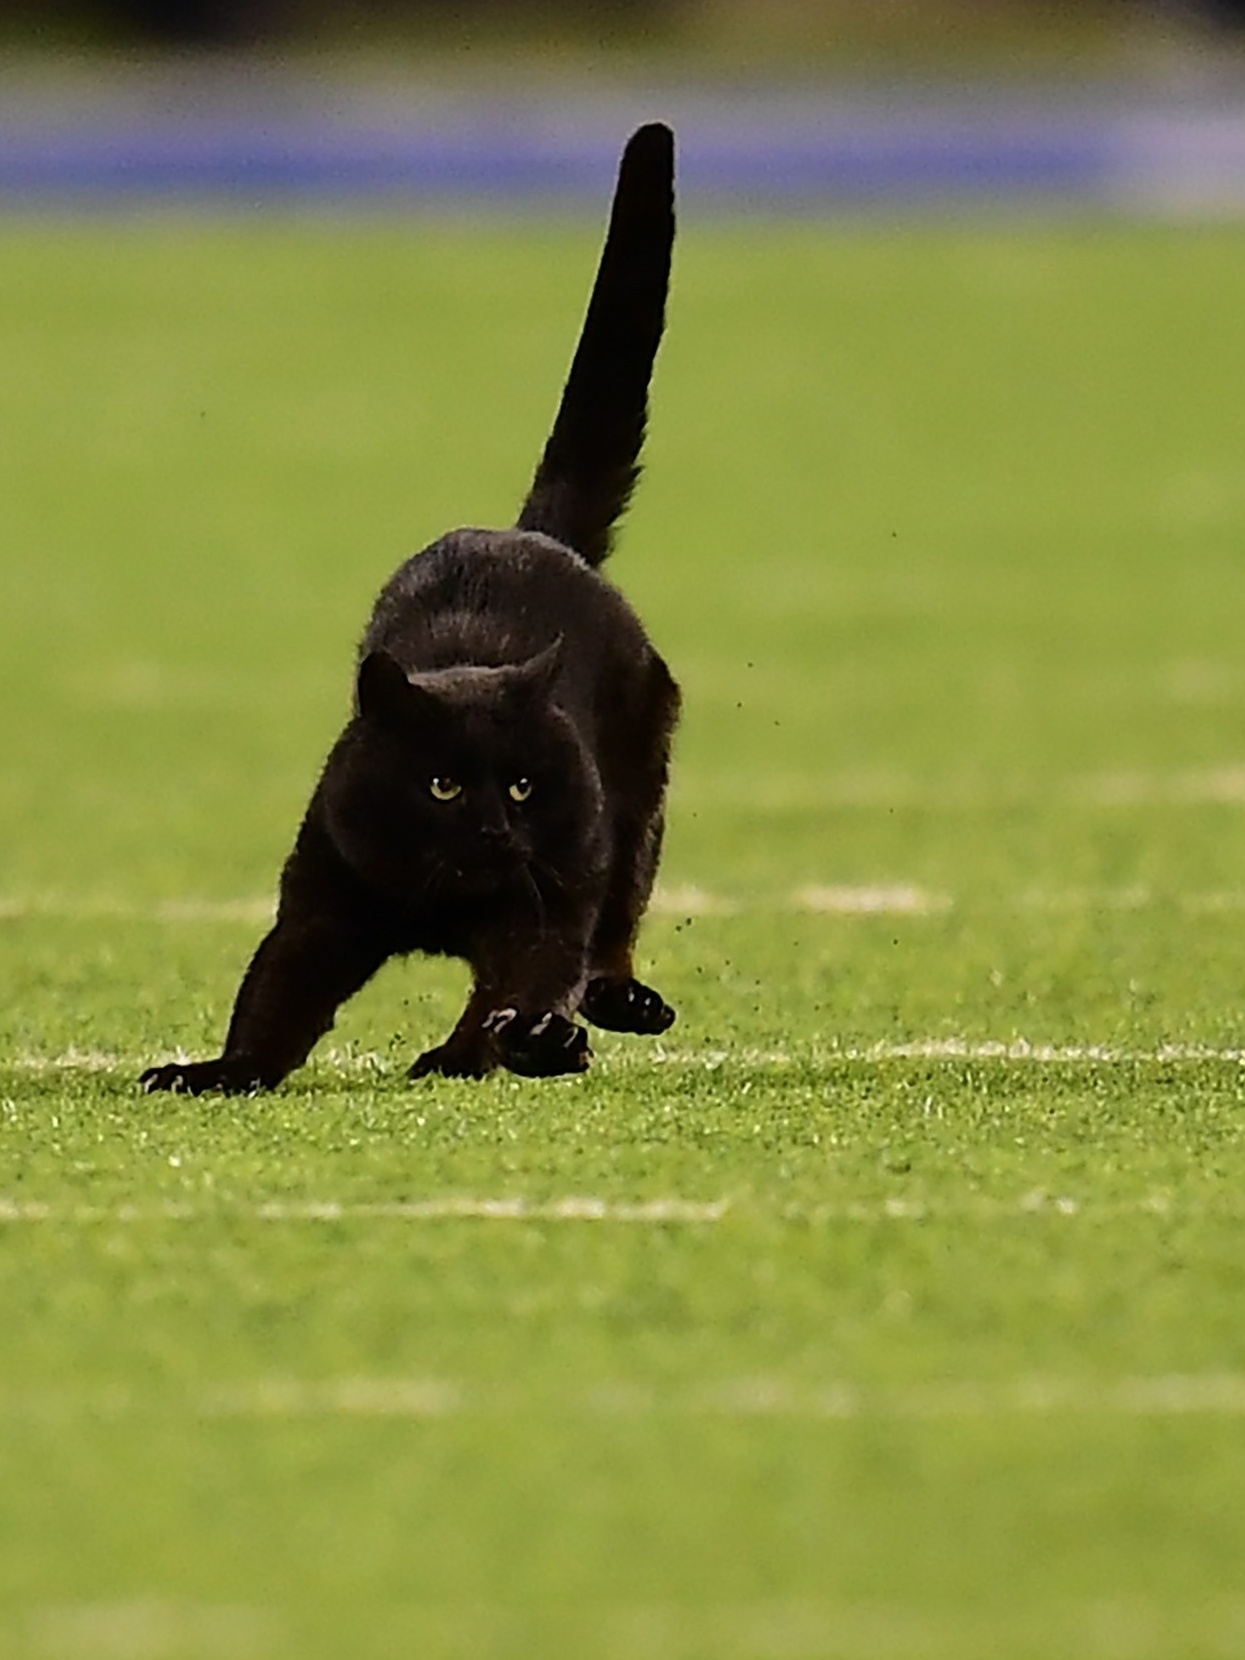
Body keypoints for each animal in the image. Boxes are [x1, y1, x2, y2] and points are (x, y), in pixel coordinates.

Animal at [143, 122, 683, 1095]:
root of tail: (535, 535)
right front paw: (219, 1072)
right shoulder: (321, 903)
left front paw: (497, 1050)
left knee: (611, 922)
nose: (491, 826)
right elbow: (274, 998)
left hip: (633, 799)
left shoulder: (541, 901)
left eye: (521, 785)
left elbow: (521, 980)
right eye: (440, 785)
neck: (446, 903)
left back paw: (599, 1015)